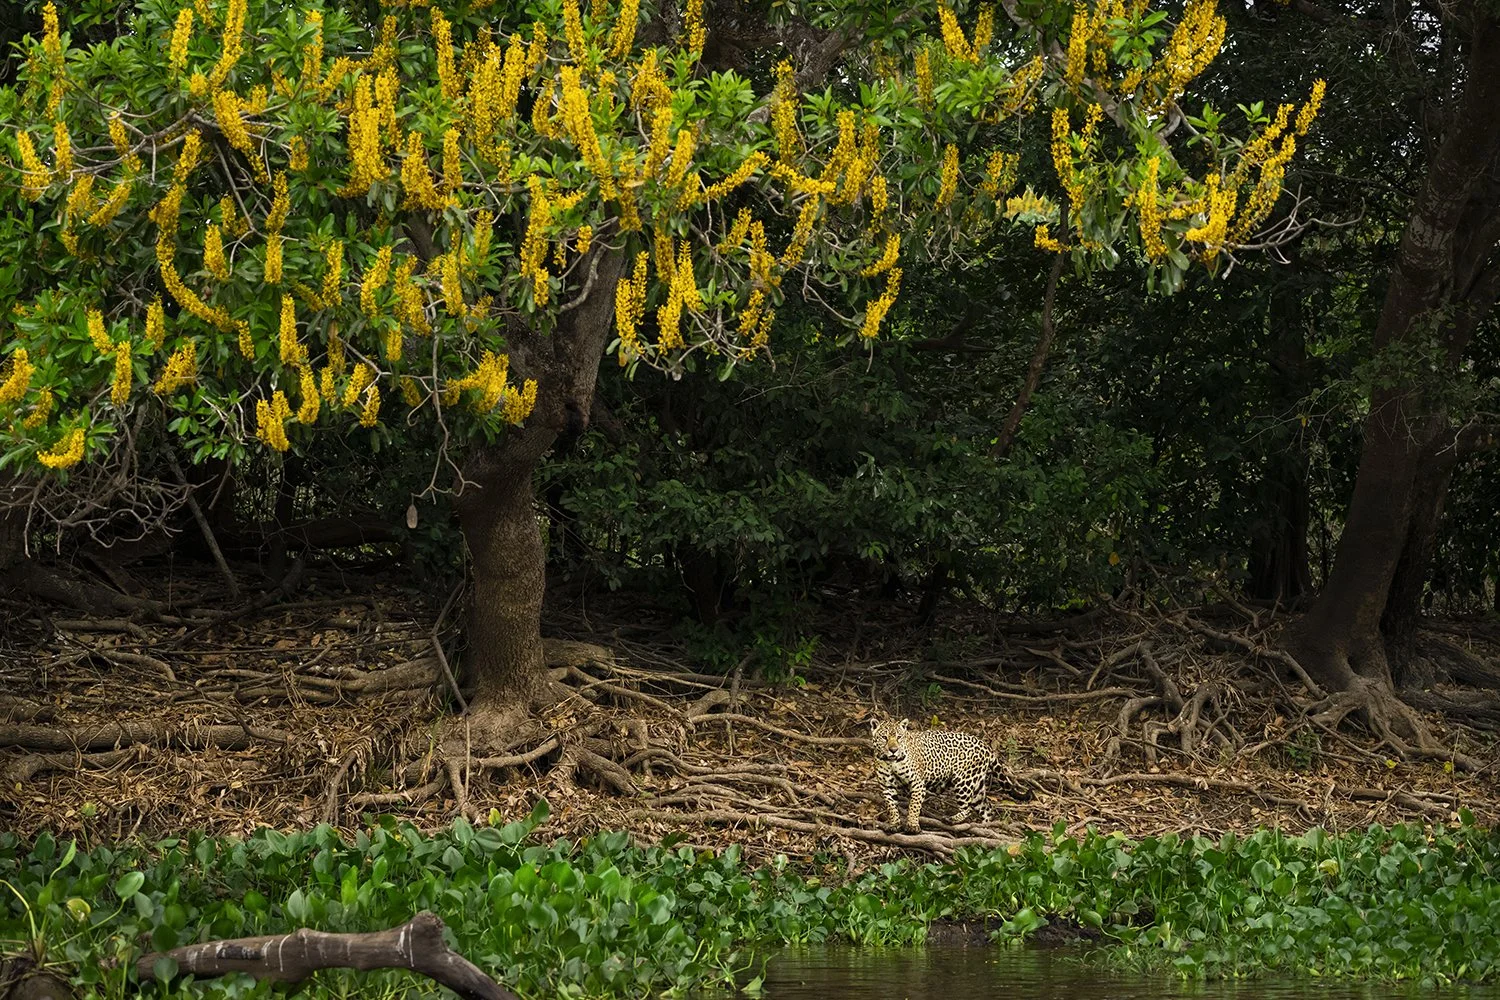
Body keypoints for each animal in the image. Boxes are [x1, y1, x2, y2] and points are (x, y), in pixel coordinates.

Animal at [868, 717, 999, 833]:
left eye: (899, 737)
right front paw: (894, 824)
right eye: (884, 738)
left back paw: (951, 820)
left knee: (968, 809)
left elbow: (914, 805)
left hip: (964, 782)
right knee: (988, 809)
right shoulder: (887, 787)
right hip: (977, 786)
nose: (893, 750)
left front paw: (912, 825)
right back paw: (985, 829)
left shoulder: (917, 783)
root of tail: (985, 745)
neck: (891, 762)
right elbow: (891, 807)